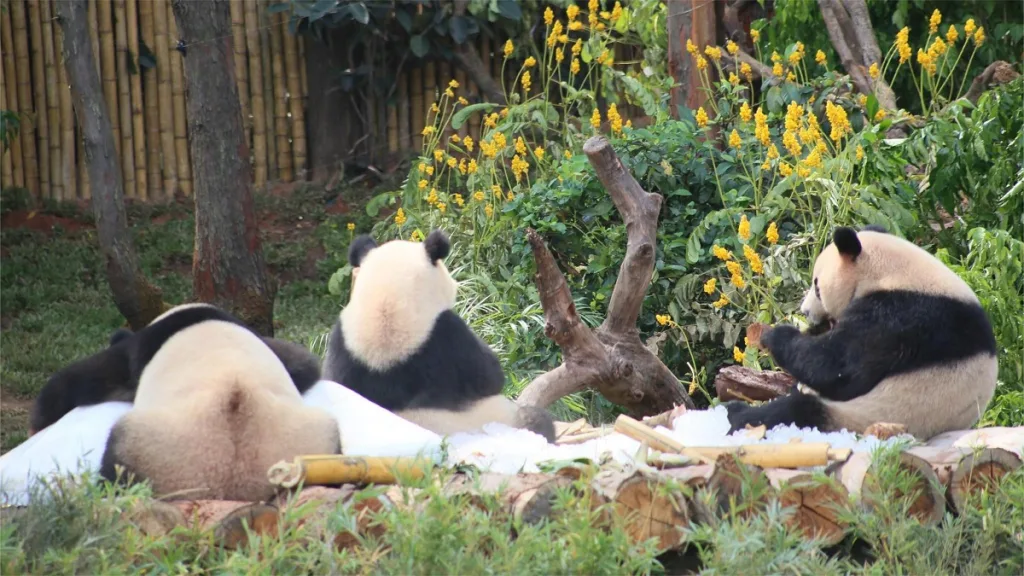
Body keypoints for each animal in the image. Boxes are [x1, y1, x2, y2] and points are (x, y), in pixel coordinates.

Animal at [99, 303, 340, 502]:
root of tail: (232, 484)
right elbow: (302, 362)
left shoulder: (141, 347)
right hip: (312, 438)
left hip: (155, 447)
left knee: (117, 462)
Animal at [726, 225, 998, 440]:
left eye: (817, 286)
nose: (805, 312)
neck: (891, 272)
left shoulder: (898, 319)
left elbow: (837, 367)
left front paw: (775, 335)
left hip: (868, 417)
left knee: (796, 412)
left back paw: (737, 414)